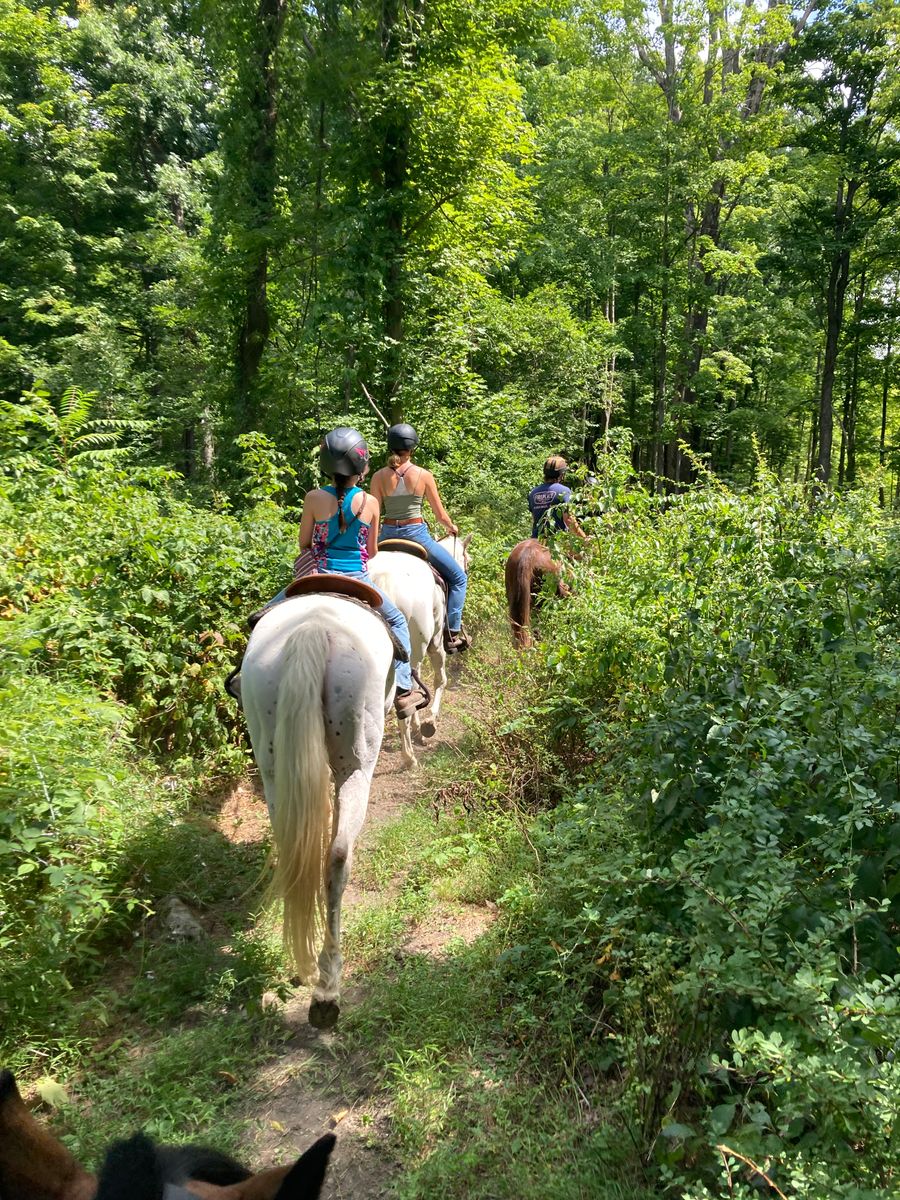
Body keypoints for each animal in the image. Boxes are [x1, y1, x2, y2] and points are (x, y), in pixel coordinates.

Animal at [243, 576, 400, 1027]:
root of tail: (313, 628)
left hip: (273, 764)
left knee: (296, 853)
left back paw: (304, 964)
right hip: (356, 764)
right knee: (337, 857)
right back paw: (327, 988)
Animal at [367, 535, 472, 768]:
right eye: (467, 562)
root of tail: (383, 582)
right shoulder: (435, 645)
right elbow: (440, 680)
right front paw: (429, 723)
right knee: (404, 699)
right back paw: (409, 757)